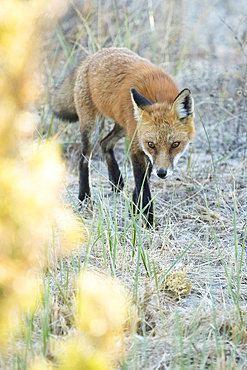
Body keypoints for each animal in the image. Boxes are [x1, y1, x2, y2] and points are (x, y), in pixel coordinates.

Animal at [52, 47, 195, 224]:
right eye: (152, 144)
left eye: (175, 144)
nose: (162, 173)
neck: (158, 97)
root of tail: (92, 56)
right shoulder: (137, 148)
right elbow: (143, 187)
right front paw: (149, 223)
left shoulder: (142, 146)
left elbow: (143, 181)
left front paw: (135, 208)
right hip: (93, 127)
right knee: (84, 159)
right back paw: (84, 198)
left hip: (123, 126)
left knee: (105, 143)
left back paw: (116, 181)